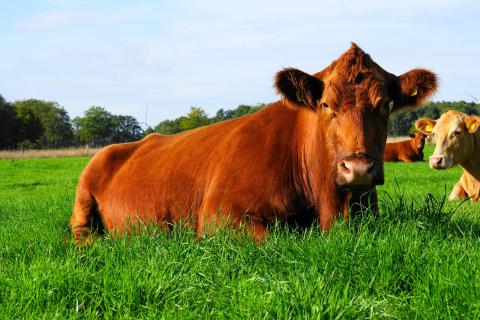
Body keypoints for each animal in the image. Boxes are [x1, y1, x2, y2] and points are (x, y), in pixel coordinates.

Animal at [72, 42, 438, 242]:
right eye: (325, 105)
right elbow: (277, 237)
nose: (358, 168)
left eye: (385, 104)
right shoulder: (219, 214)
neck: (330, 206)